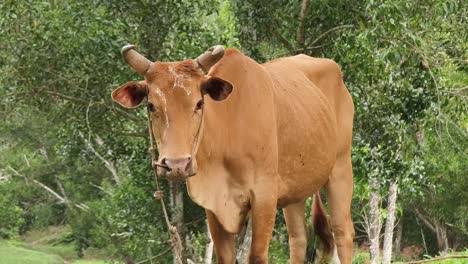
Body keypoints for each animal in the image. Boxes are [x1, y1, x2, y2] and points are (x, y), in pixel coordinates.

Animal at [112, 46, 354, 264]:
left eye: (199, 103)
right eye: (151, 106)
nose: (177, 165)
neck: (229, 130)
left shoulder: (264, 196)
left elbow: (256, 256)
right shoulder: (213, 205)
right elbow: (225, 257)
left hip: (341, 168)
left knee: (343, 233)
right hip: (296, 188)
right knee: (298, 239)